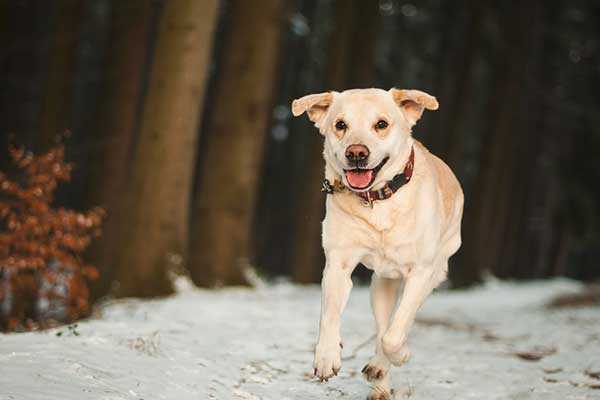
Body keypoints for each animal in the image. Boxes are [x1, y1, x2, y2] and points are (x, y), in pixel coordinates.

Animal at [290, 89, 464, 398]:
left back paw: (382, 365)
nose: (356, 153)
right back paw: (380, 377)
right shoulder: (337, 265)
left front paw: (401, 354)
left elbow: (395, 335)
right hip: (382, 284)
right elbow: (329, 315)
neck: (378, 200)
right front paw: (326, 357)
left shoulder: (421, 272)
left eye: (381, 124)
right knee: (383, 324)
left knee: (396, 326)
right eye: (340, 125)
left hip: (435, 270)